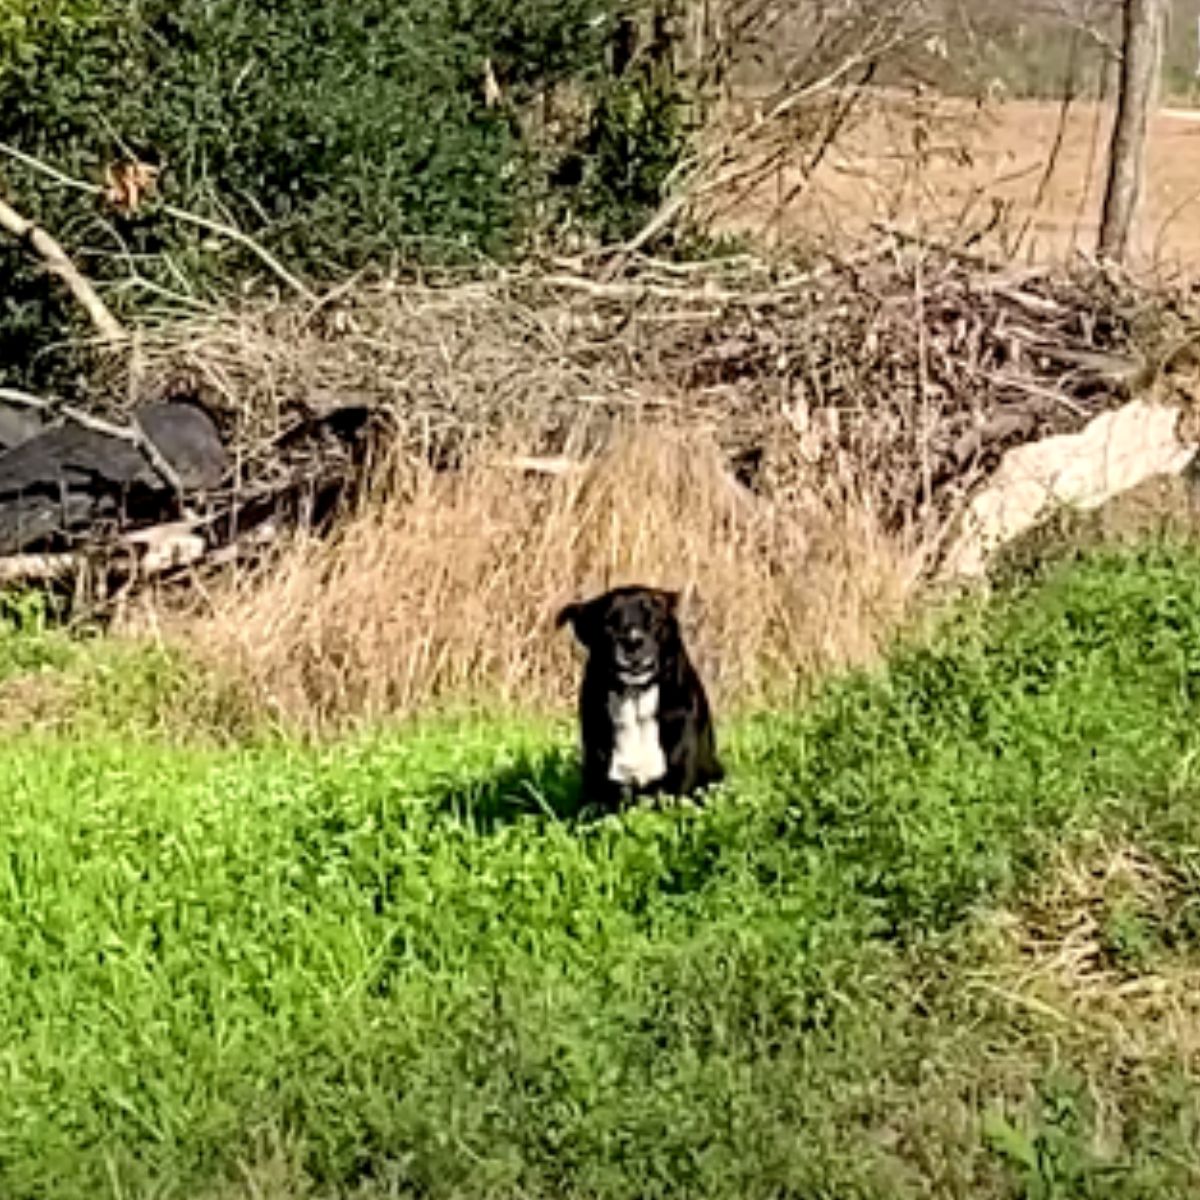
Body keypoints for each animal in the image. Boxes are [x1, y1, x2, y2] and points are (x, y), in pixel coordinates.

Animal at [554, 585, 720, 811]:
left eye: (654, 619)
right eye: (608, 623)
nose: (633, 641)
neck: (635, 702)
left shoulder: (682, 780)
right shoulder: (601, 787)